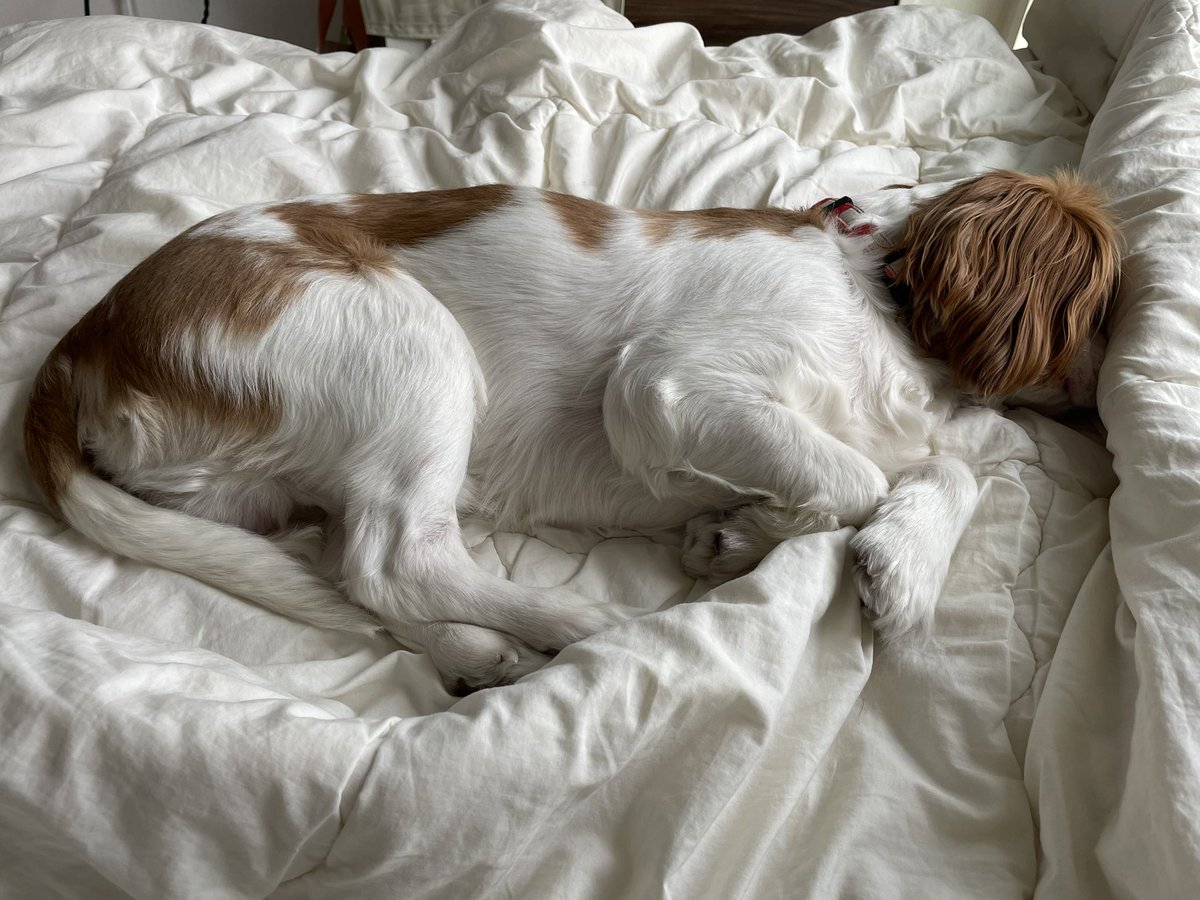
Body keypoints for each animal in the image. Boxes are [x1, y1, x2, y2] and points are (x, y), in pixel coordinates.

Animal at [23, 172, 1118, 696]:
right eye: (1106, 309)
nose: (1103, 404)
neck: (881, 294)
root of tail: (85, 340)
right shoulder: (665, 383)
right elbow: (853, 479)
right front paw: (756, 537)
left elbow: (943, 472)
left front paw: (799, 543)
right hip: (406, 339)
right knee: (393, 558)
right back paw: (584, 625)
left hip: (266, 483)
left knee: (353, 570)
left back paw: (478, 651)